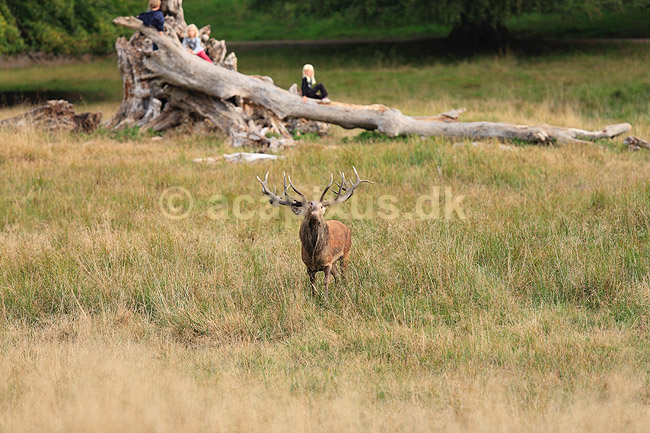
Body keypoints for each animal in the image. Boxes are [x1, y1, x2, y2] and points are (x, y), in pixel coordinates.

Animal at [257, 167, 373, 297]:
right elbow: (313, 283)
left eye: (321, 206)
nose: (314, 212)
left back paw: (345, 288)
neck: (314, 253)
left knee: (343, 275)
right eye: (308, 207)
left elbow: (326, 281)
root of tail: (345, 227)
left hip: (346, 252)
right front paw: (315, 297)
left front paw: (326, 298)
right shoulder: (308, 265)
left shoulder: (328, 263)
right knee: (337, 276)